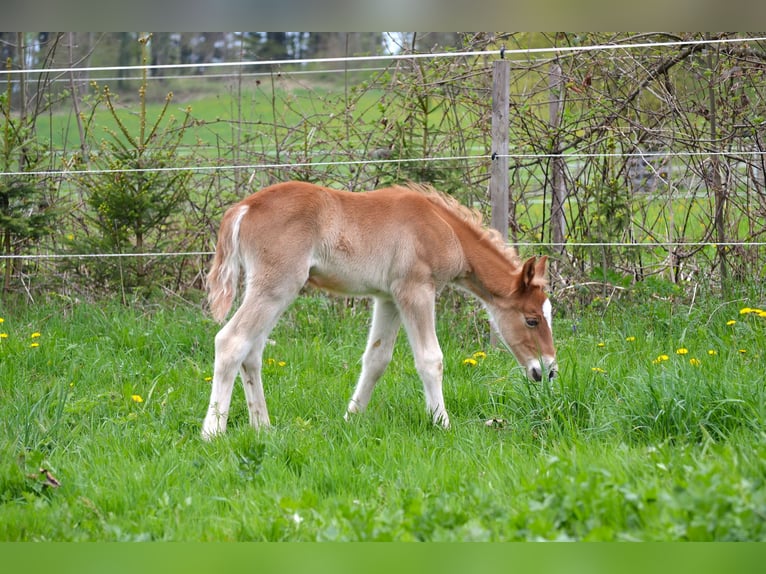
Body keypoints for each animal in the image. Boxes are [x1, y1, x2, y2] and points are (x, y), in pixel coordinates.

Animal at [202, 181, 556, 438]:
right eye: (532, 320)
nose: (548, 370)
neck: (441, 227)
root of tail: (244, 207)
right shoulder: (415, 289)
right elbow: (430, 359)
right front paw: (442, 423)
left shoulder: (387, 298)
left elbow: (376, 359)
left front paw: (350, 418)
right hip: (277, 286)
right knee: (231, 341)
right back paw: (213, 432)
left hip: (272, 289)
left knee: (253, 350)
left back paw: (262, 427)